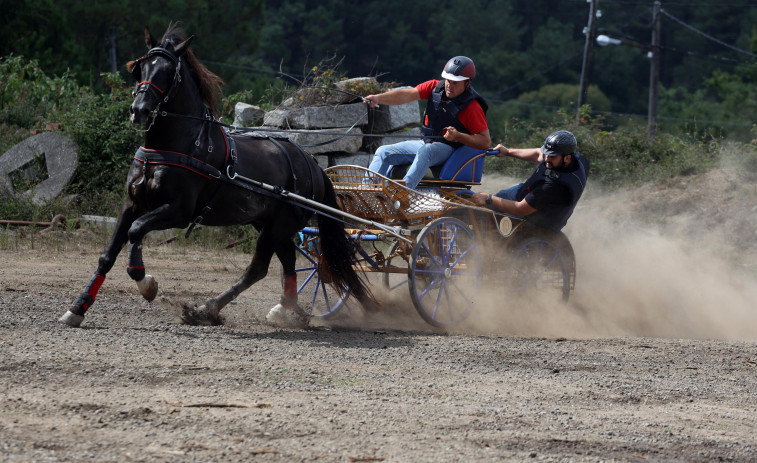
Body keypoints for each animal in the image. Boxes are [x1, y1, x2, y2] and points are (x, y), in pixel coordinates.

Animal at [60, 25, 374, 328]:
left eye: (168, 72)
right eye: (140, 68)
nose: (140, 111)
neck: (173, 145)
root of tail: (312, 164)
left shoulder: (179, 211)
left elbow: (136, 230)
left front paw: (145, 282)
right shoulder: (133, 203)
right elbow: (108, 255)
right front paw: (78, 307)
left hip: (278, 225)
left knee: (258, 269)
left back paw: (207, 309)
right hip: (269, 222)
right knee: (287, 260)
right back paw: (285, 309)